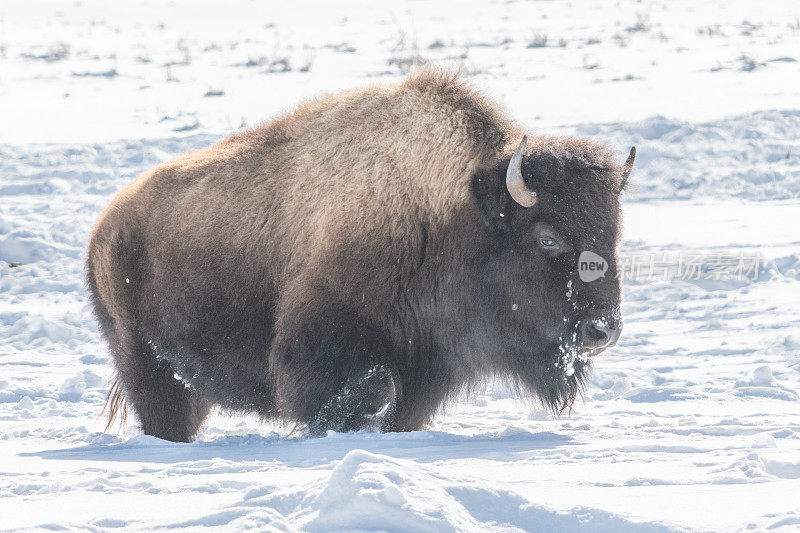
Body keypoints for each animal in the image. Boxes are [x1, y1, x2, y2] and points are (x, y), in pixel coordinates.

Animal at [87, 69, 636, 440]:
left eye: (614, 234)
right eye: (548, 238)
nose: (603, 330)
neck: (453, 211)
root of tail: (106, 227)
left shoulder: (427, 371)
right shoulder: (323, 347)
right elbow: (364, 390)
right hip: (146, 366)